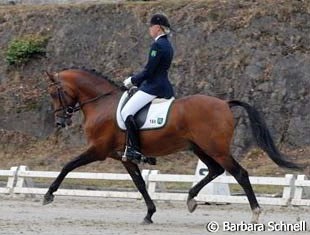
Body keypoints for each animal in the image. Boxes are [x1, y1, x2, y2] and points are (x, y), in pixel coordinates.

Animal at [43, 67, 302, 224]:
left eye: (55, 93)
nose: (60, 122)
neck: (102, 104)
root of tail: (224, 103)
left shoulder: (98, 150)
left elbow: (68, 166)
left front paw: (48, 195)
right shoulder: (124, 157)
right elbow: (139, 183)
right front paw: (149, 214)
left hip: (216, 148)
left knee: (239, 173)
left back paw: (255, 213)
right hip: (199, 147)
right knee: (215, 170)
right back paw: (191, 199)